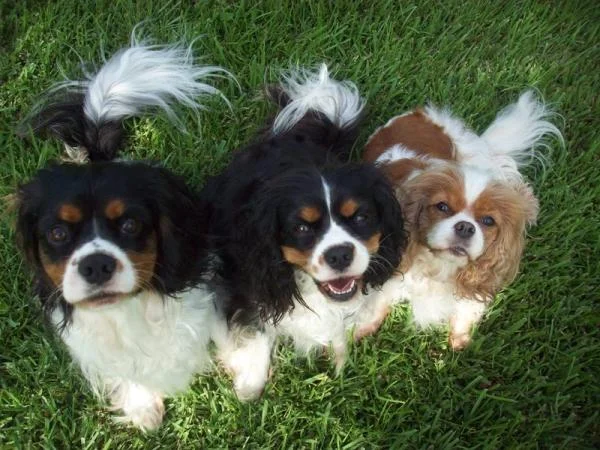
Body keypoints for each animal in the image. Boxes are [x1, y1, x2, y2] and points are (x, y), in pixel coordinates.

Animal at [204, 65, 406, 400]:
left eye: (361, 217)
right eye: (301, 227)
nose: (339, 254)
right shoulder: (246, 279)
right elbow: (256, 328)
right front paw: (250, 382)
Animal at [356, 91, 564, 350]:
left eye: (488, 221)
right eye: (442, 207)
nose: (465, 227)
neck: (440, 266)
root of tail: (420, 114)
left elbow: (468, 307)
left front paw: (460, 339)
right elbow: (376, 302)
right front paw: (361, 330)